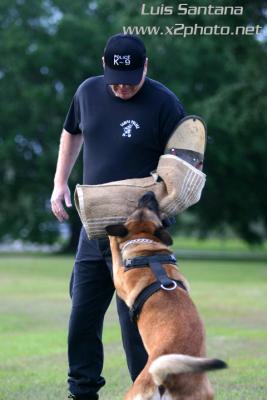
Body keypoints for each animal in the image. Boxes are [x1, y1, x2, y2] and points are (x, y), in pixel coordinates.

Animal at [105, 192, 227, 398]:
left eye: (148, 207)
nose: (149, 193)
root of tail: (166, 379)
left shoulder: (119, 277)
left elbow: (115, 252)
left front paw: (110, 237)